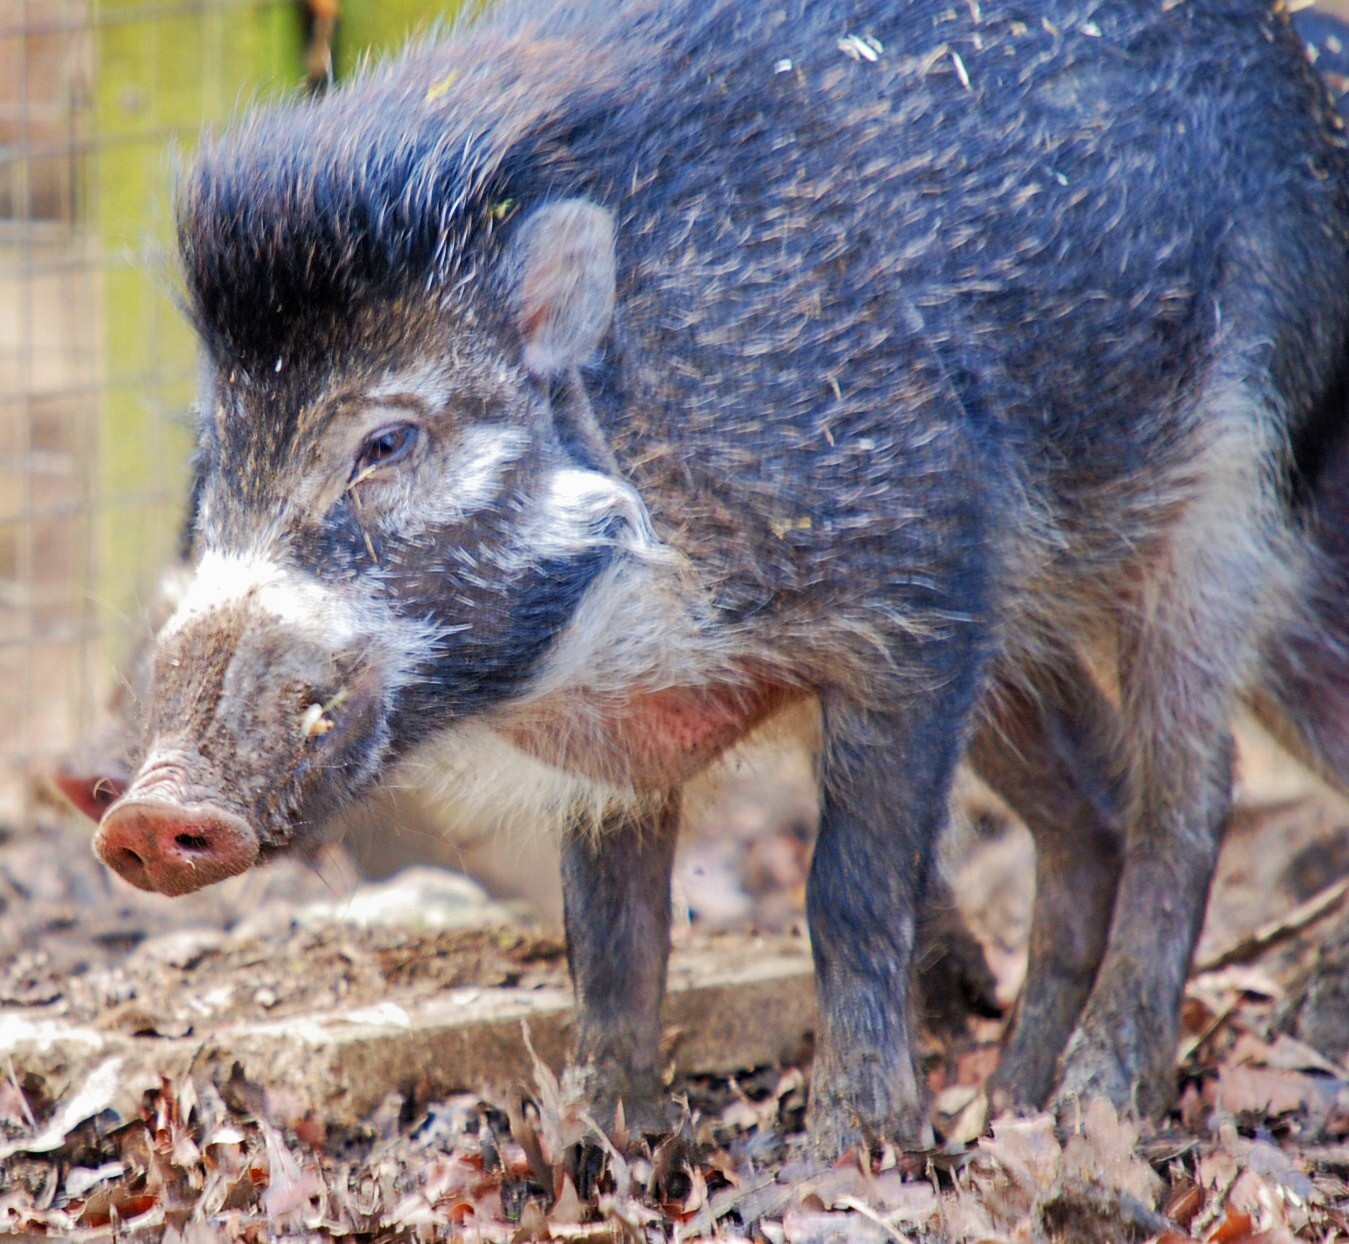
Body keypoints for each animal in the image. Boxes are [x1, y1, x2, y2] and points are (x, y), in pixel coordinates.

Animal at [90, 0, 1349, 1155]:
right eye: (215, 461)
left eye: (387, 442)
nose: (143, 812)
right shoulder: (640, 743)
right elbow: (607, 934)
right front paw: (601, 1135)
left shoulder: (915, 589)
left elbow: (848, 890)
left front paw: (851, 1146)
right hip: (1022, 640)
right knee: (1089, 809)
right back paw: (1010, 1101)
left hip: (1222, 507)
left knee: (1187, 794)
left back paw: (1099, 1099)